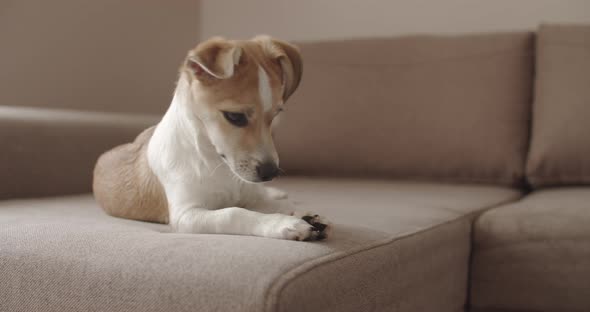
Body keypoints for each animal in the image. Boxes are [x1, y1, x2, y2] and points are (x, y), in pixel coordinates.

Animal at [95, 36, 330, 241]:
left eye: (275, 115)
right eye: (235, 117)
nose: (271, 173)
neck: (215, 162)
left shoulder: (250, 194)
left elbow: (275, 205)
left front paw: (300, 214)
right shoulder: (187, 215)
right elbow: (233, 212)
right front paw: (282, 224)